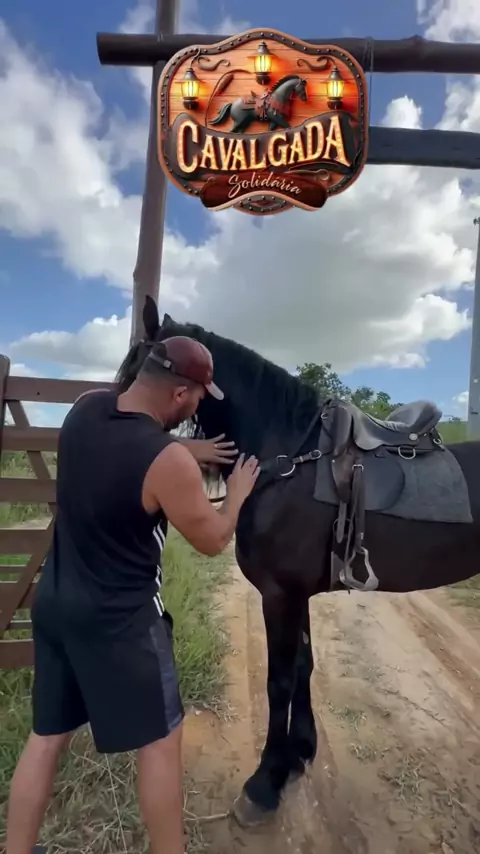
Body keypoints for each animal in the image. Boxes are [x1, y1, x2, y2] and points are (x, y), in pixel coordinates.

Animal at [116, 298, 480, 828]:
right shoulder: (296, 594)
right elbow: (304, 666)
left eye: (134, 372)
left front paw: (264, 782)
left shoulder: (278, 593)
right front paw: (298, 754)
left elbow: (280, 681)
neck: (288, 456)